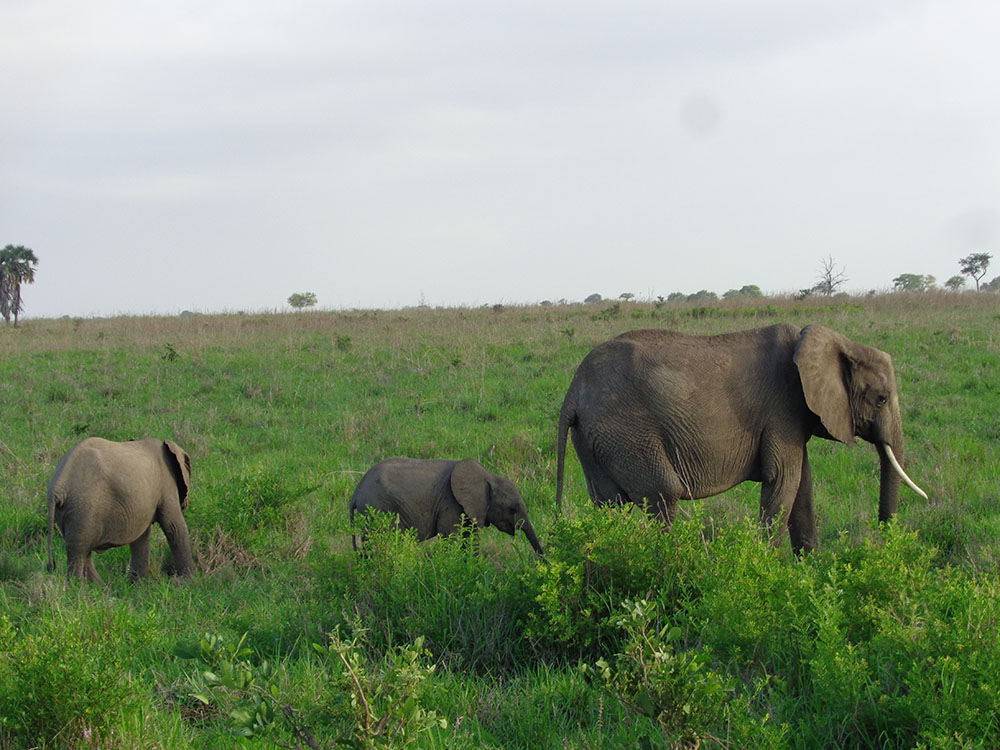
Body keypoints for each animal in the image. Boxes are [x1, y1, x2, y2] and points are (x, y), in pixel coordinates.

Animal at [46, 437, 194, 582]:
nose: (186, 503)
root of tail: (58, 485)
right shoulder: (167, 484)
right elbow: (173, 527)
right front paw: (187, 582)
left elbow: (141, 536)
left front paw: (139, 584)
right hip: (83, 507)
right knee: (79, 551)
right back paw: (78, 586)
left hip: (70, 510)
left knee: (82, 551)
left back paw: (98, 586)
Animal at [349, 457, 544, 554]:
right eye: (512, 509)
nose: (542, 561)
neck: (488, 476)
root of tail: (356, 491)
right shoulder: (450, 503)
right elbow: (451, 537)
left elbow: (470, 539)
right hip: (376, 509)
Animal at [555, 323, 926, 553]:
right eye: (881, 399)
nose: (883, 538)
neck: (834, 341)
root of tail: (572, 390)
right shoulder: (783, 409)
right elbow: (783, 481)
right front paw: (769, 572)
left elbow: (802, 488)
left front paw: (811, 574)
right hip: (627, 432)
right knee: (663, 494)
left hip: (595, 439)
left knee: (609, 506)